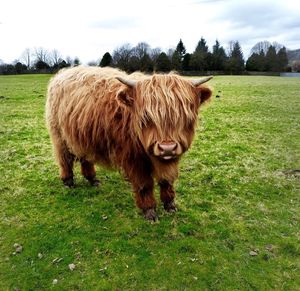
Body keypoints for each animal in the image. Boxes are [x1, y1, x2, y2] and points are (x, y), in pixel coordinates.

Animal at [45, 66, 212, 221]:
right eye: (146, 118)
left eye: (186, 117)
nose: (167, 148)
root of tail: (63, 73)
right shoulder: (133, 159)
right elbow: (144, 184)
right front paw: (149, 211)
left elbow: (167, 180)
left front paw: (170, 205)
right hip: (59, 136)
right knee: (64, 158)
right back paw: (68, 181)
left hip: (83, 136)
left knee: (85, 157)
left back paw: (93, 179)